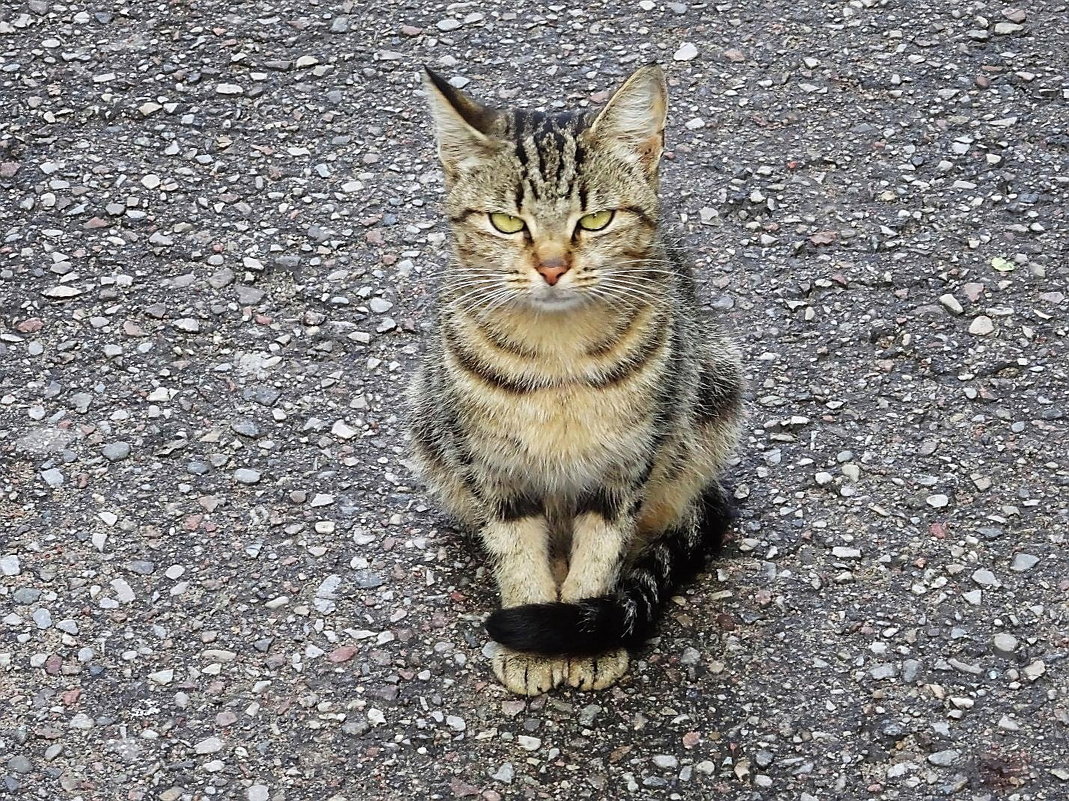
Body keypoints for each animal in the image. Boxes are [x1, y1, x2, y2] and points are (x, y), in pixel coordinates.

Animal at [408, 64, 744, 692]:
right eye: (506, 222)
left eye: (595, 220)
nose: (551, 266)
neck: (557, 359)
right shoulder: (490, 467)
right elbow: (516, 554)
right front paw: (532, 647)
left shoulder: (626, 464)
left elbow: (601, 554)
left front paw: (583, 643)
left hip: (715, 394)